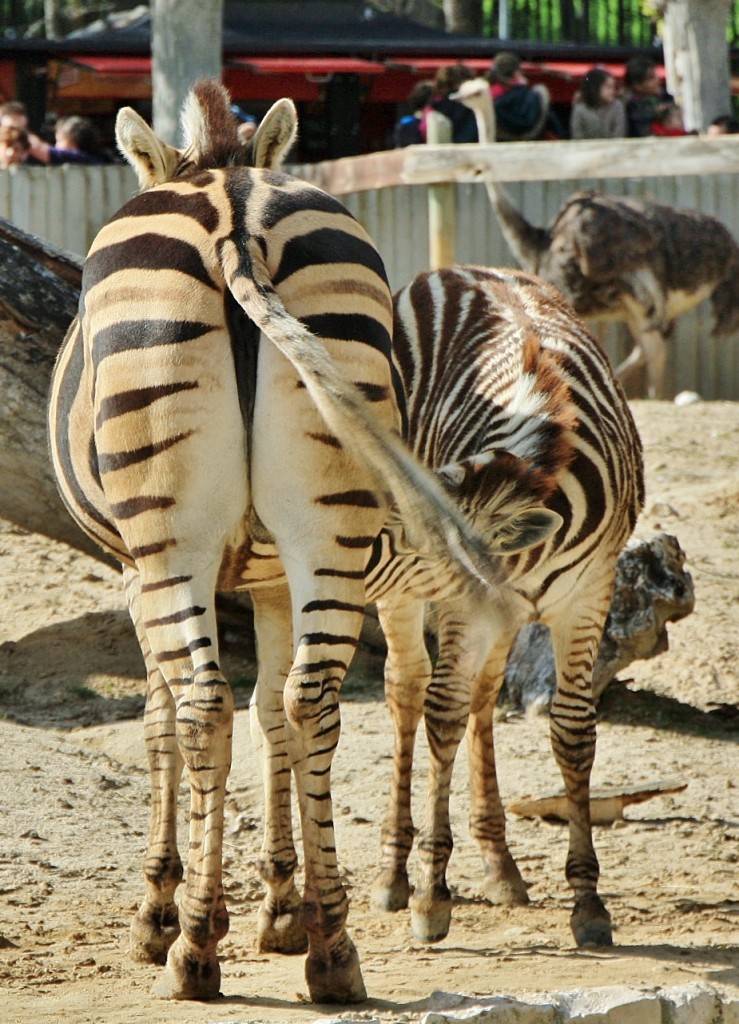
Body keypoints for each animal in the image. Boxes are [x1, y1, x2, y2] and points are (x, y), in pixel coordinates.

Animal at [46, 83, 511, 1003]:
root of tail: (231, 209)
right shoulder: (268, 579)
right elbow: (272, 717)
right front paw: (282, 907)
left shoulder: (133, 575)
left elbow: (163, 721)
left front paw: (164, 912)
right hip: (329, 520)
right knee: (311, 699)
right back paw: (332, 950)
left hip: (170, 542)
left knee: (202, 706)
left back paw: (192, 951)